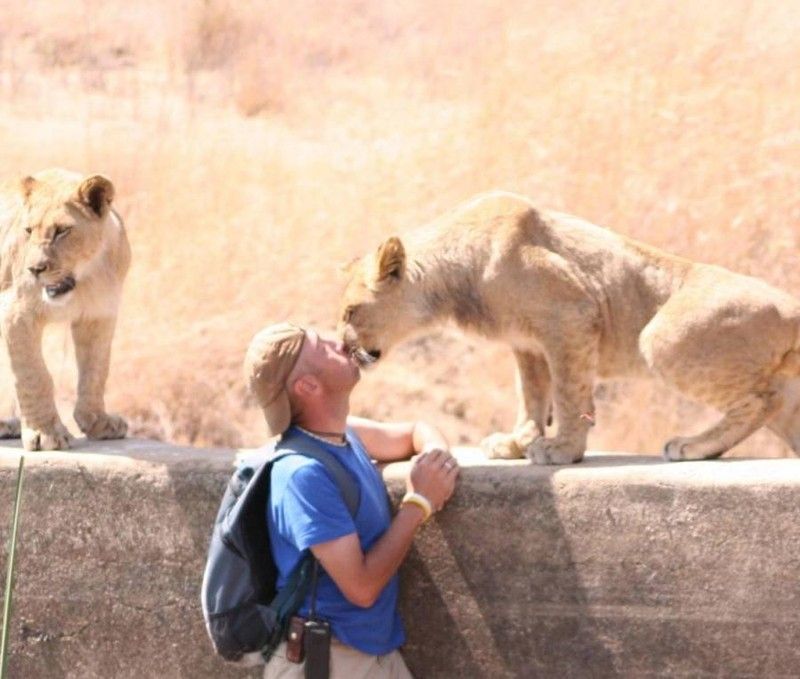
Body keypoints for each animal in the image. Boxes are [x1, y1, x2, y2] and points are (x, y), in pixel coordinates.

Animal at [0, 167, 130, 448]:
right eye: (28, 230)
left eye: (62, 231)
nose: (34, 269)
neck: (84, 278)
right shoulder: (15, 313)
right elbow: (34, 375)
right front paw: (45, 433)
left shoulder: (99, 316)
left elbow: (96, 371)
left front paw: (98, 422)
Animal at [338, 194, 800, 464]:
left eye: (349, 312)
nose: (342, 349)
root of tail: (790, 304)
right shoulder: (526, 343)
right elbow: (531, 394)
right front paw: (518, 442)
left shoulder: (571, 315)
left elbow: (567, 391)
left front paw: (562, 450)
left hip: (661, 338)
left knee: (762, 399)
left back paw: (693, 446)